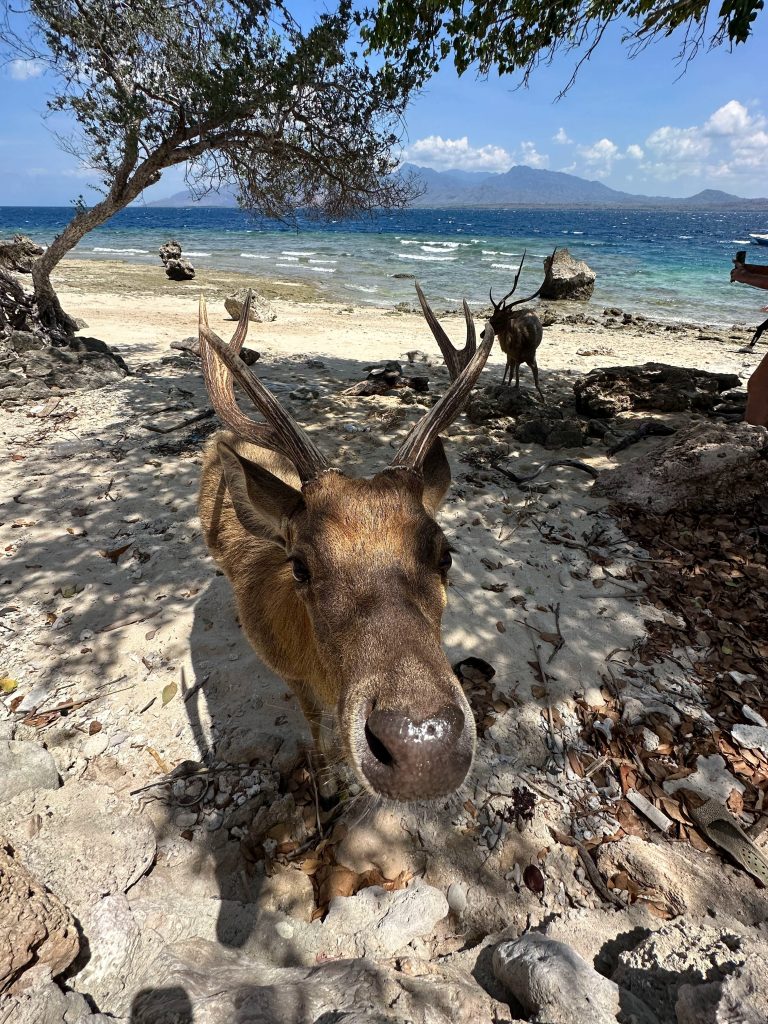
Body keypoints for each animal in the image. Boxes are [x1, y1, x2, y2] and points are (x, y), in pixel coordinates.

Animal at [197, 291, 494, 804]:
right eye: (300, 566)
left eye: (445, 553)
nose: (423, 749)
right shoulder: (290, 674)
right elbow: (316, 724)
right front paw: (326, 779)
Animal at [488, 249, 554, 397]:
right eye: (491, 318)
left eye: (501, 320)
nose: (482, 334)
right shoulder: (514, 356)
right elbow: (514, 375)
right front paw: (508, 386)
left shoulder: (531, 357)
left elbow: (536, 382)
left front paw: (543, 399)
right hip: (510, 355)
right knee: (509, 367)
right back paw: (504, 383)